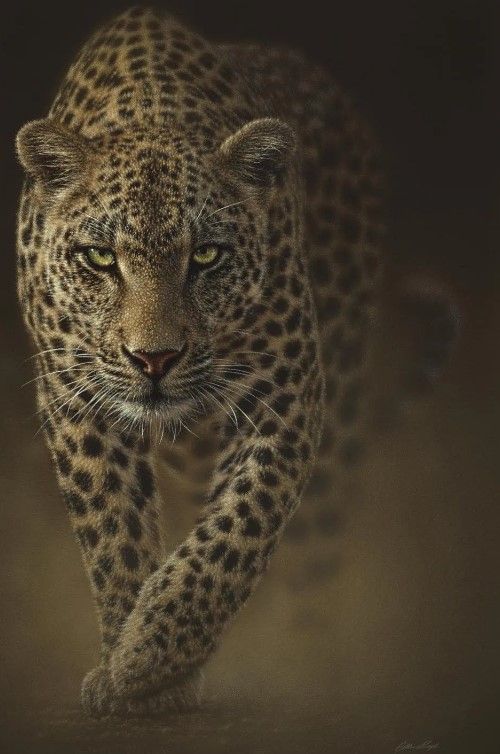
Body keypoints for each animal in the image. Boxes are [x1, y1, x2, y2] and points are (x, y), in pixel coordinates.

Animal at [15, 5, 453, 718]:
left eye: (207, 256)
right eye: (100, 258)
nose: (154, 359)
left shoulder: (287, 388)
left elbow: (238, 529)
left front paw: (151, 659)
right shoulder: (74, 395)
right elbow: (113, 531)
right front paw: (132, 665)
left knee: (318, 536)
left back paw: (309, 651)